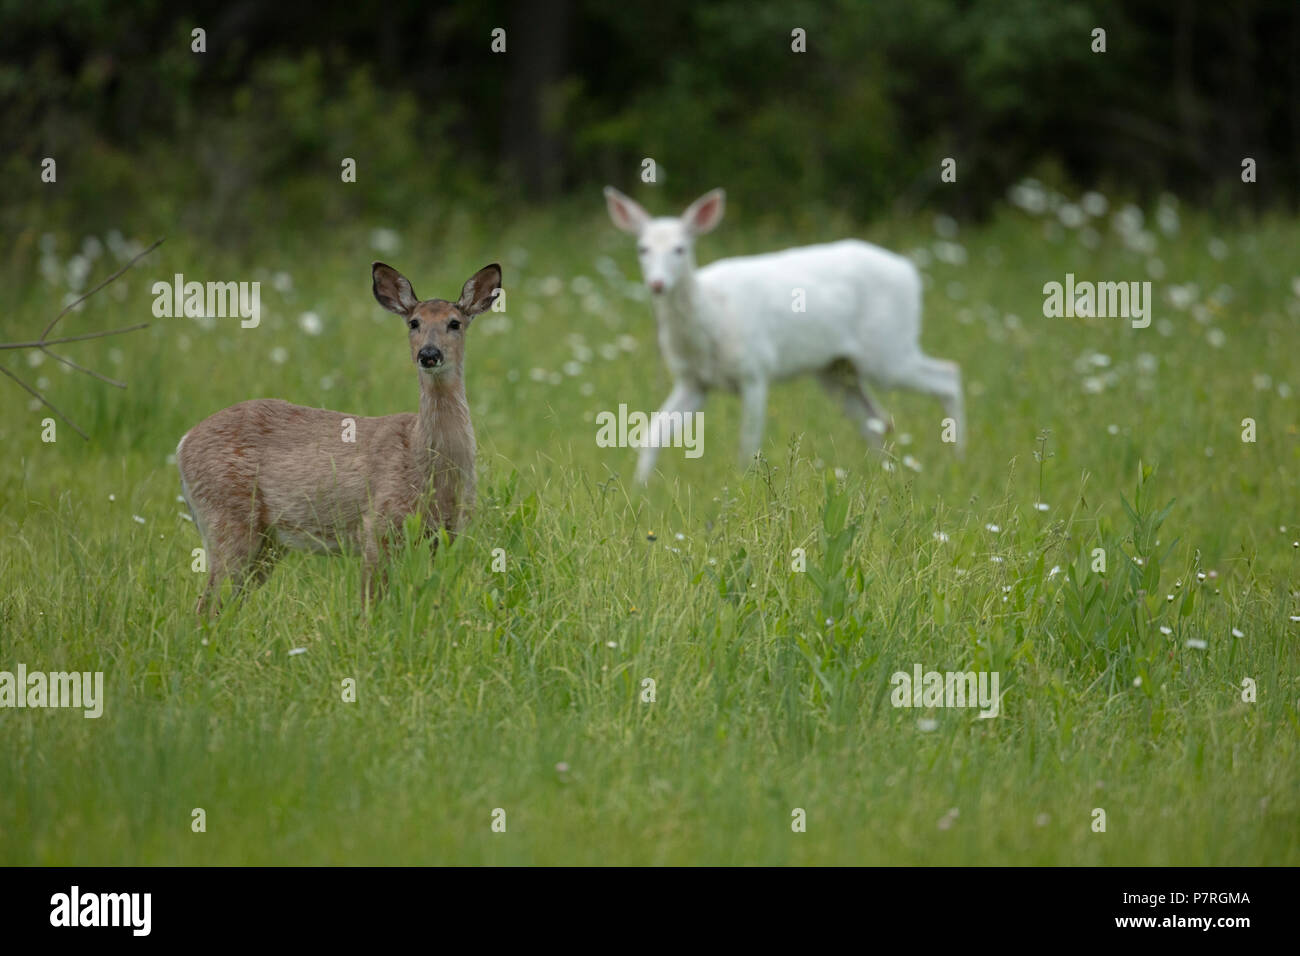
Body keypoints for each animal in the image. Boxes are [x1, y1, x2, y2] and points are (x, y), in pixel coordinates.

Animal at [172, 257, 496, 616]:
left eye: (455, 323)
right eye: (414, 322)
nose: (428, 354)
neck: (426, 463)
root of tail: (183, 443)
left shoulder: (451, 531)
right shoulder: (377, 525)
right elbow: (371, 603)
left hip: (267, 543)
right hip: (226, 517)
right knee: (206, 604)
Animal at [603, 187, 961, 486]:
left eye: (680, 248)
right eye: (642, 249)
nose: (657, 284)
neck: (711, 315)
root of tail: (911, 272)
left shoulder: (755, 370)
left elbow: (748, 443)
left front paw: (743, 486)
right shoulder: (693, 381)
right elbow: (653, 433)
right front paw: (638, 490)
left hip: (888, 348)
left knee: (948, 375)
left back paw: (958, 459)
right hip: (835, 368)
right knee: (878, 419)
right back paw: (882, 476)